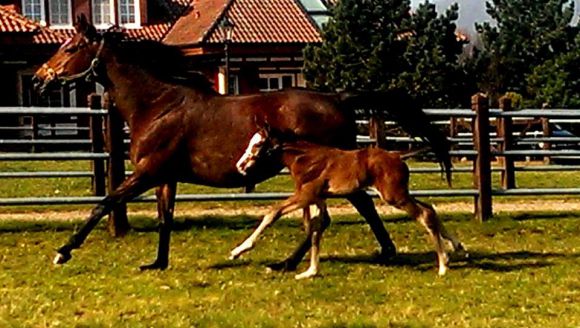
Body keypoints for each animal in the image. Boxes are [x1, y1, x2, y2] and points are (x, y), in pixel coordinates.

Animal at [233, 127, 464, 278]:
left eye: (258, 144)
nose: (240, 166)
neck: (305, 159)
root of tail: (398, 155)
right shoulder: (319, 199)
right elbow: (316, 227)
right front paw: (310, 272)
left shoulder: (305, 195)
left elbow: (272, 212)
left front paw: (239, 250)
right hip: (399, 194)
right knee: (430, 209)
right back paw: (456, 248)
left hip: (394, 196)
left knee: (425, 214)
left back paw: (443, 266)